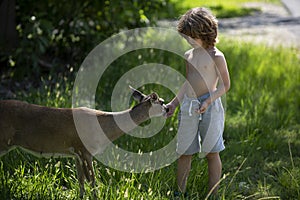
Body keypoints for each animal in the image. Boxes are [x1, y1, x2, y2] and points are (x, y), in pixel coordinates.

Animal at [0, 86, 169, 198]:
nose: (168, 109)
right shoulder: (86, 151)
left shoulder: (76, 153)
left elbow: (81, 180)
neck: (104, 128)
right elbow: (92, 180)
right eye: (161, 102)